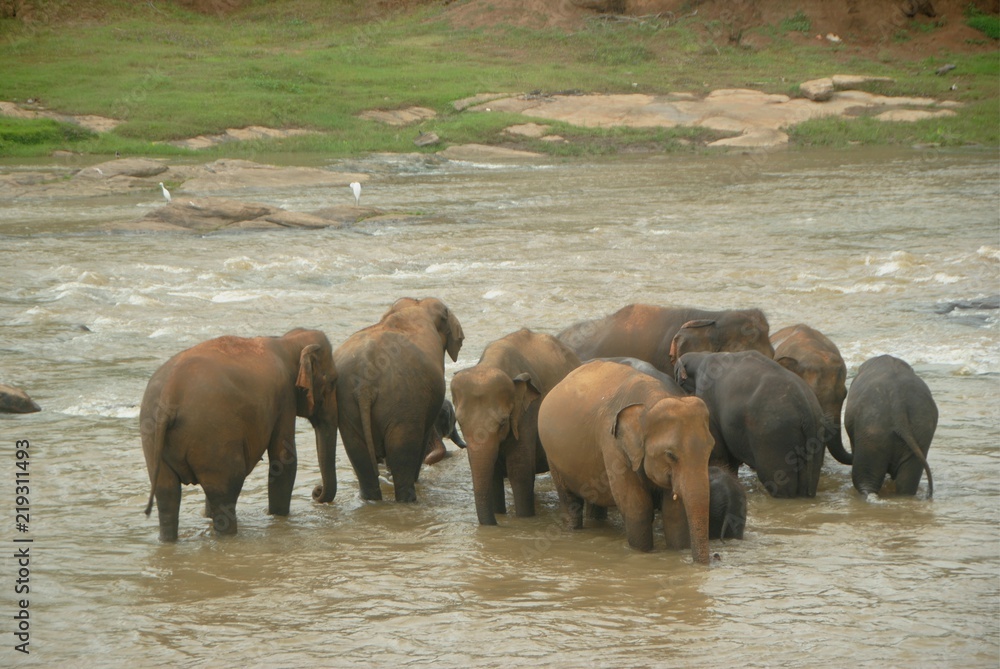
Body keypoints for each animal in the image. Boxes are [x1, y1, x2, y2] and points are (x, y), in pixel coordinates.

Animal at [140, 328, 338, 541]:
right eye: (333, 382)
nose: (317, 491)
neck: (287, 340)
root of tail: (169, 394)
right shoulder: (285, 397)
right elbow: (284, 459)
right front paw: (278, 516)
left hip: (152, 436)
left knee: (167, 494)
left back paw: (168, 540)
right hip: (213, 436)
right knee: (227, 488)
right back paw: (227, 536)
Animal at [324, 297, 464, 504]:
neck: (416, 305)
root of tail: (365, 383)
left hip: (349, 408)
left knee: (358, 452)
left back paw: (371, 500)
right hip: (404, 405)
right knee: (403, 450)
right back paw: (408, 499)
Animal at [450, 328, 580, 525]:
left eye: (503, 422)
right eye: (460, 422)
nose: (495, 525)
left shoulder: (528, 415)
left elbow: (519, 470)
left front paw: (523, 519)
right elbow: (494, 475)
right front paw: (499, 513)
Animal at [537, 360, 714, 564]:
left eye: (711, 449)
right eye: (670, 455)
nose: (712, 559)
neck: (652, 400)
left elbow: (674, 514)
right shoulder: (613, 446)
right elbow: (637, 508)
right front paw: (642, 553)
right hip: (552, 457)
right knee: (569, 501)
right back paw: (572, 530)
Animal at [675, 351, 850, 498]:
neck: (701, 356)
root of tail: (805, 407)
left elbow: (720, 454)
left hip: (774, 435)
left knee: (776, 481)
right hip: (814, 435)